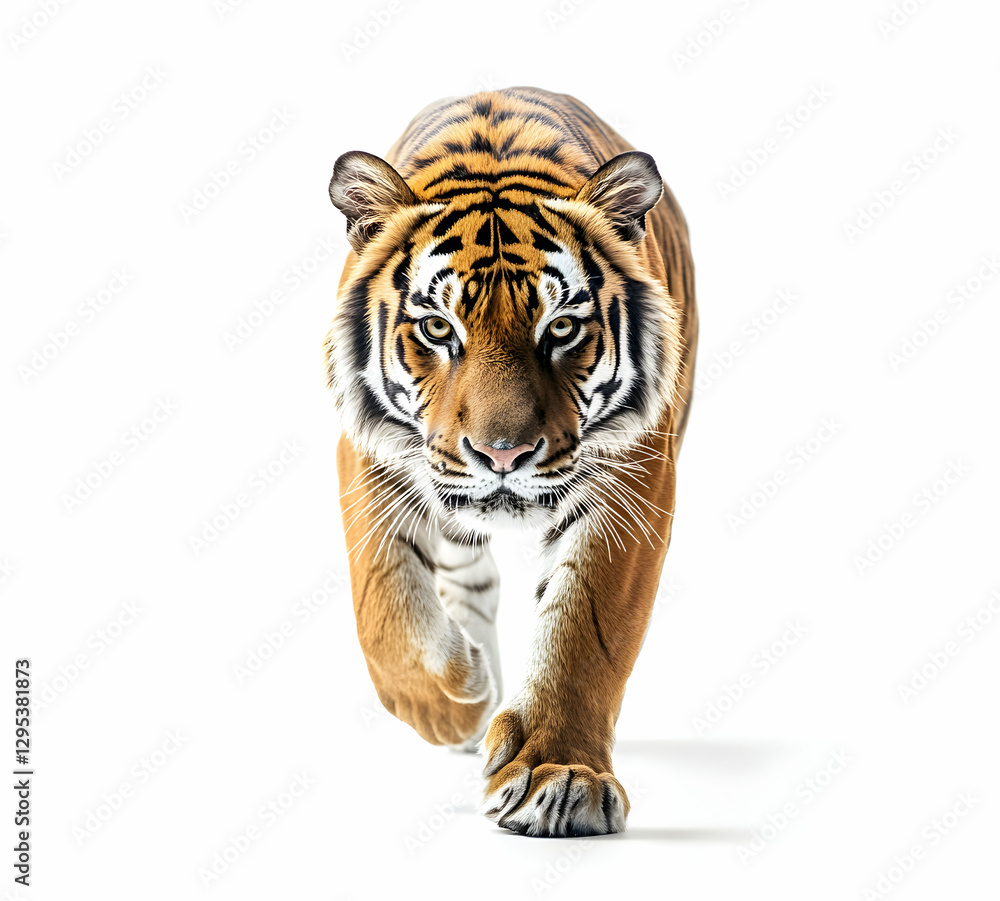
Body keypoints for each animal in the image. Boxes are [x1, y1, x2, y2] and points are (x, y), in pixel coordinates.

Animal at [324, 86, 697, 837]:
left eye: (562, 328)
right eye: (438, 328)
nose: (505, 453)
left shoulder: (638, 470)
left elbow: (588, 626)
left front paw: (561, 776)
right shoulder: (371, 451)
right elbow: (384, 605)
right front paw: (453, 704)